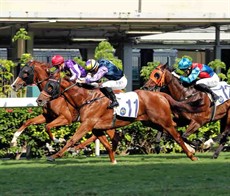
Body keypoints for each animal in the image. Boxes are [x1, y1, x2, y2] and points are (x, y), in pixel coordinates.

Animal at [35, 70, 203, 162]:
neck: (87, 98)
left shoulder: (87, 124)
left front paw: (54, 155)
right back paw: (195, 144)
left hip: (163, 120)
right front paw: (113, 159)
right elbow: (106, 143)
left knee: (177, 136)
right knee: (174, 130)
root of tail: (160, 94)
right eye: (45, 85)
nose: (39, 100)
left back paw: (192, 154)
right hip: (151, 122)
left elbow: (72, 139)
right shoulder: (96, 127)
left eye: (50, 86)